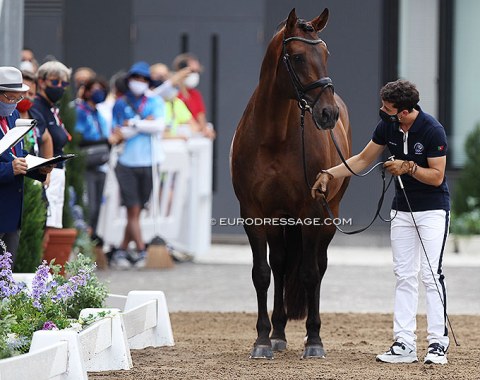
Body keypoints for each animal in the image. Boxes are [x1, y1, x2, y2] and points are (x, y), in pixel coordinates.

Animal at [231, 8, 350, 360]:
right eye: (297, 57)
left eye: (326, 54)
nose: (328, 114)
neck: (274, 136)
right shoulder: (254, 213)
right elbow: (262, 273)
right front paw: (261, 340)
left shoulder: (310, 211)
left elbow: (310, 273)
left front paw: (314, 342)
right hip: (279, 220)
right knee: (281, 265)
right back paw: (278, 333)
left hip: (328, 215)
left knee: (319, 267)